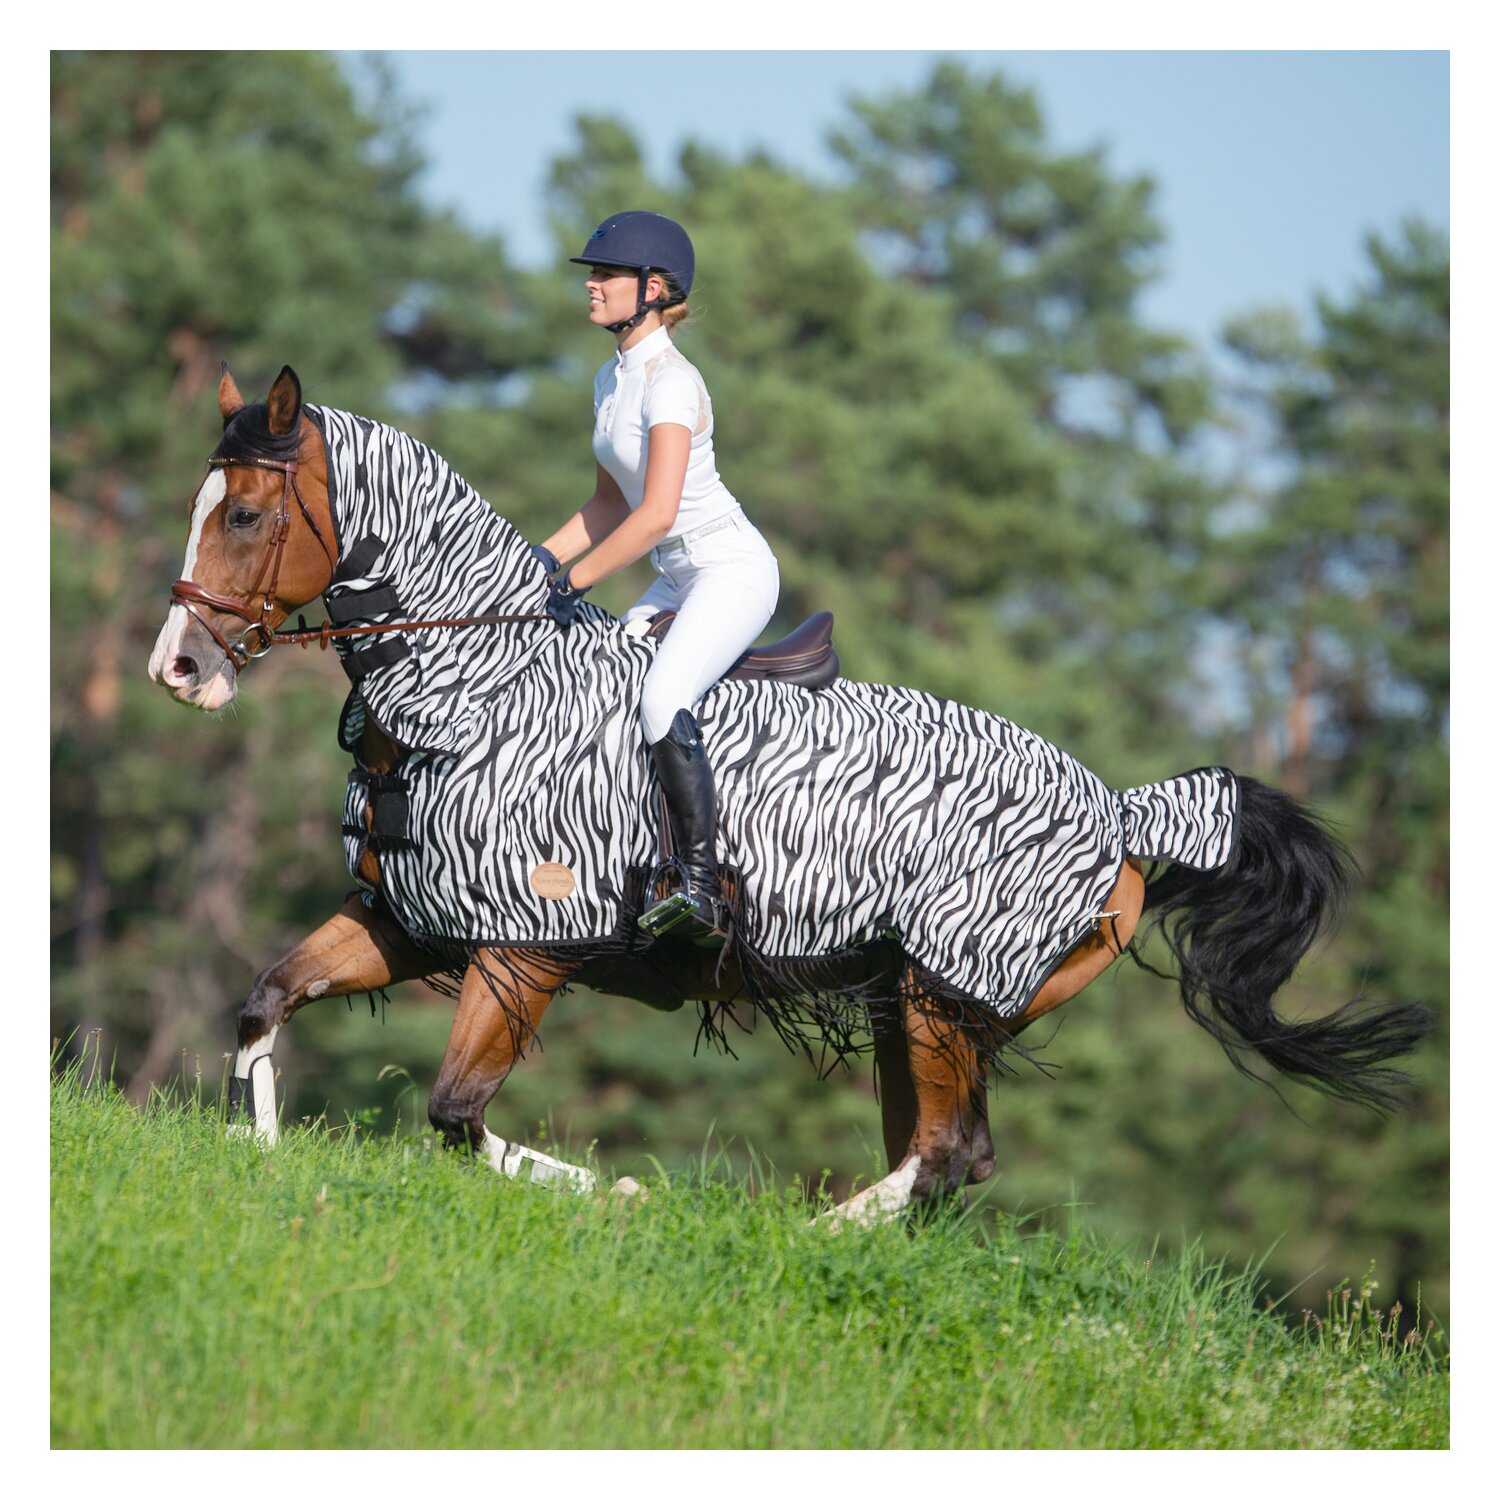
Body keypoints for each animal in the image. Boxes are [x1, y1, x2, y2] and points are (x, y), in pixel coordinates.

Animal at [147, 365, 1429, 1221]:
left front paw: (624, 1192)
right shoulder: (408, 922)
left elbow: (458, 1114)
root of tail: (1125, 810)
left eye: (247, 514)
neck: (474, 694)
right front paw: (260, 1157)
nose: (178, 669)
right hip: (907, 1005)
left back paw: (812, 1240)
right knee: (944, 1153)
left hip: (945, 993)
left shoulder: (525, 948)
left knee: (945, 1155)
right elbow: (265, 1003)